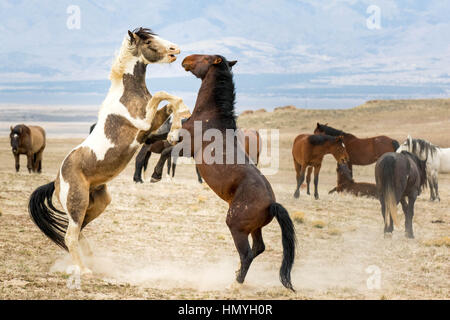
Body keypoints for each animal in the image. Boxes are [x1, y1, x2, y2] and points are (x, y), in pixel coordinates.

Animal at [28, 26, 190, 276]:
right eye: (149, 43)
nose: (175, 49)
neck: (128, 94)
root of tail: (56, 181)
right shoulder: (144, 124)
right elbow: (162, 95)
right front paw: (181, 119)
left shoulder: (150, 132)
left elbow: (170, 102)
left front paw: (175, 131)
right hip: (77, 203)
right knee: (70, 236)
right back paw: (84, 270)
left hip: (98, 202)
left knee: (79, 232)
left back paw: (90, 263)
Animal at [178, 54, 298, 290]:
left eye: (205, 57)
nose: (185, 59)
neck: (210, 117)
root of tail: (271, 204)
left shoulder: (184, 146)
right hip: (254, 228)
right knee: (259, 248)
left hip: (236, 226)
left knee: (247, 254)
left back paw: (236, 282)